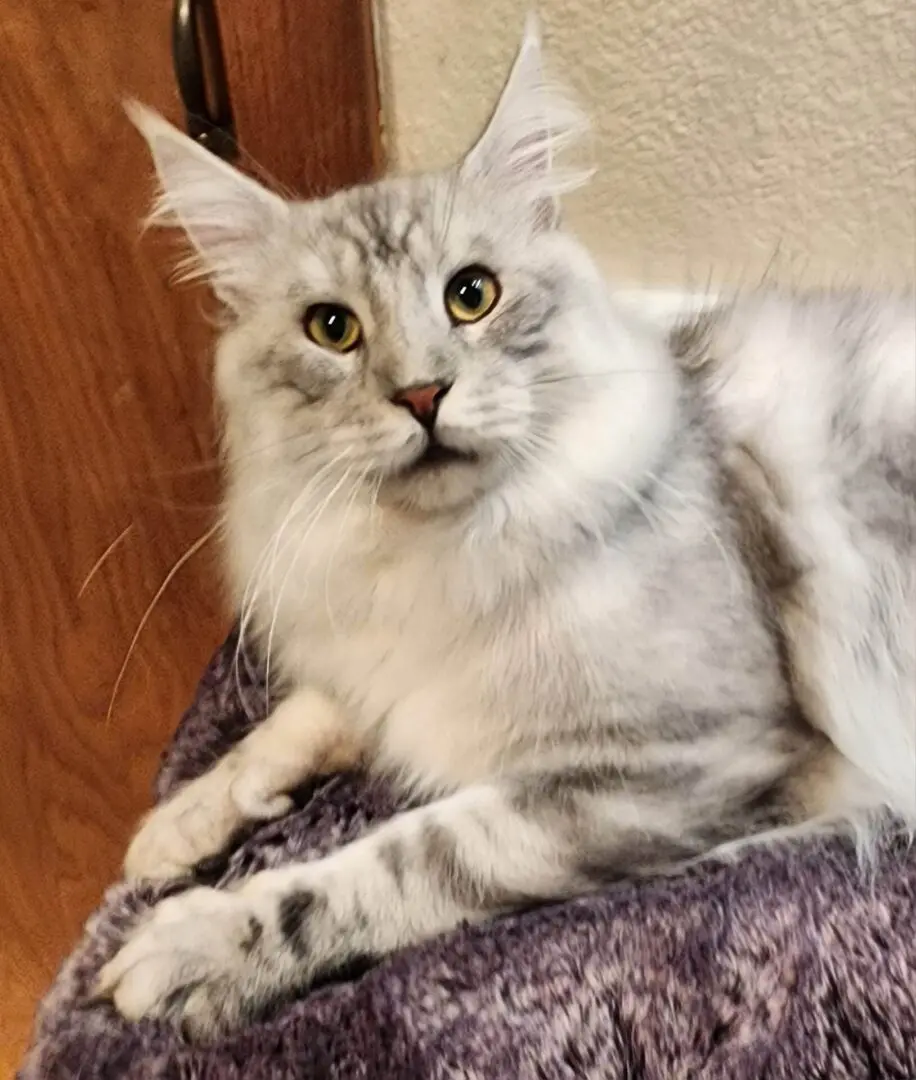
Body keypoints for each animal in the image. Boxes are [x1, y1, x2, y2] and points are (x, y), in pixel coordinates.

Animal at [96, 21, 911, 1041]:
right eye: (333, 329)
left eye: (471, 296)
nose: (421, 395)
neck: (444, 561)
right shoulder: (385, 660)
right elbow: (301, 718)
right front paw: (183, 820)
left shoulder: (679, 758)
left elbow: (396, 860)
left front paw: (196, 943)